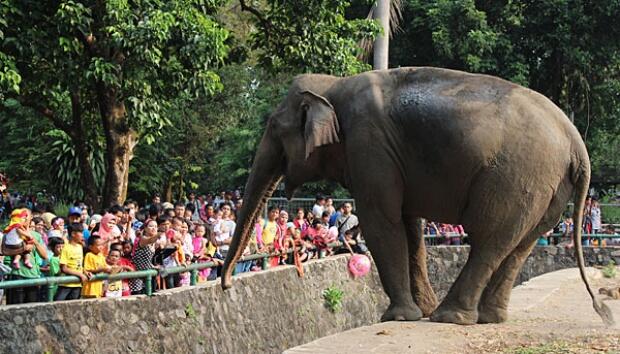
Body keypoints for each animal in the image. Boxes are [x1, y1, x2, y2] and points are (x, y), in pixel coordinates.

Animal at [220, 66, 612, 326]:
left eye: (274, 127)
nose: (225, 286)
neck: (333, 85)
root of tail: (575, 140)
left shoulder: (369, 146)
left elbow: (381, 222)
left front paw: (396, 317)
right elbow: (409, 228)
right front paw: (416, 312)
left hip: (517, 175)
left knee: (490, 240)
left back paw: (449, 317)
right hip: (547, 186)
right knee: (520, 244)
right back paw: (486, 318)